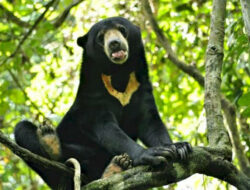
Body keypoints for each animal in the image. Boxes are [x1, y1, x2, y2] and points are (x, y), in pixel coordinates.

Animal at [14, 17, 191, 189]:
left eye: (122, 29)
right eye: (100, 37)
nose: (114, 43)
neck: (118, 72)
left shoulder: (140, 89)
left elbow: (151, 123)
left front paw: (179, 147)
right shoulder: (94, 96)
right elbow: (106, 128)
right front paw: (152, 153)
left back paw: (117, 165)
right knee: (23, 129)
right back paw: (50, 141)